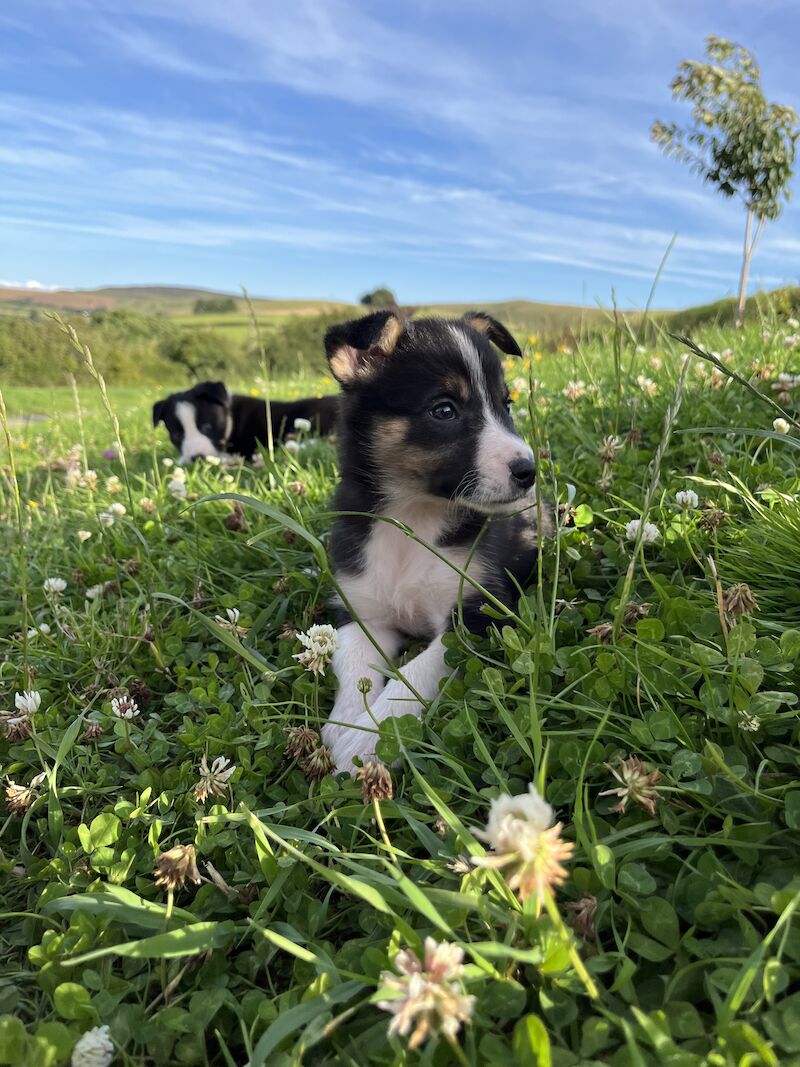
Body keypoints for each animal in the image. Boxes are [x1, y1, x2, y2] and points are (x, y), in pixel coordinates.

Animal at [322, 311, 550, 772]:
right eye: (444, 409)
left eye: (506, 404)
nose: (528, 471)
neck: (412, 518)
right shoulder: (361, 611)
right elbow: (351, 662)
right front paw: (347, 722)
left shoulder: (477, 613)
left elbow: (415, 673)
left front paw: (370, 735)